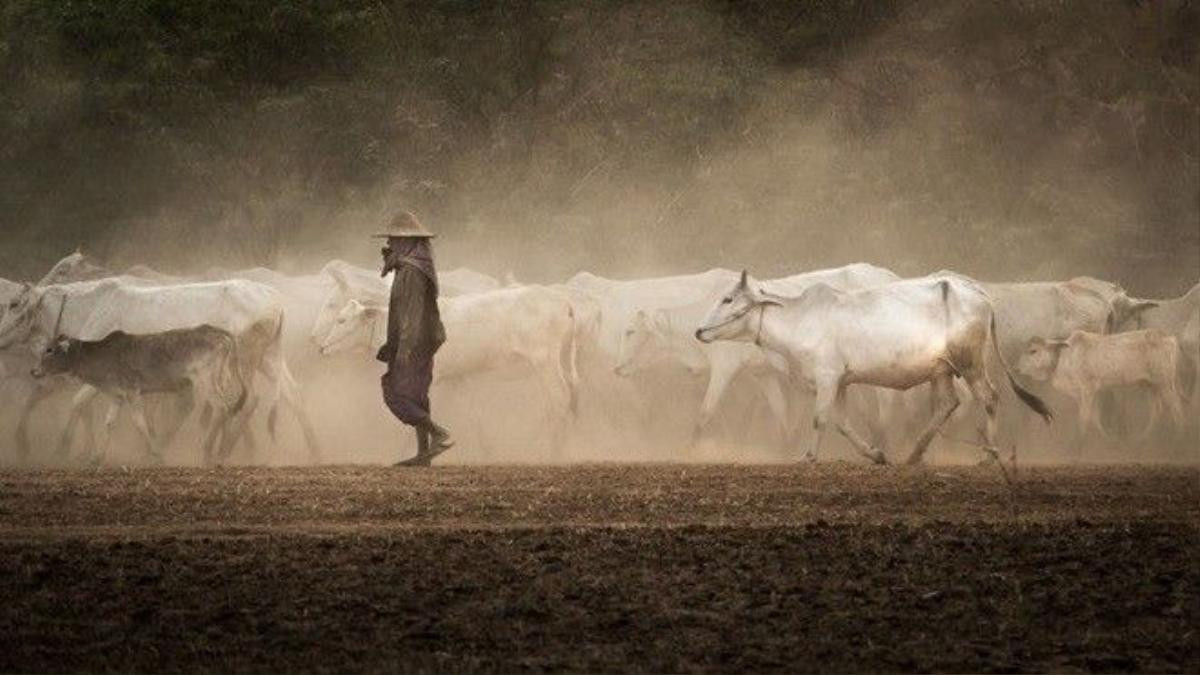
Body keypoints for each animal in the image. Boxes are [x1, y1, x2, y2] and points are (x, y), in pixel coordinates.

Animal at [696, 269, 1051, 461]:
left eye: (728, 298)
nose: (699, 331)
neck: (800, 319)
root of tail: (978, 293)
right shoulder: (840, 382)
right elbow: (841, 422)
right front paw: (876, 454)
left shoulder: (827, 378)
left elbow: (819, 419)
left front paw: (808, 456)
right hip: (942, 369)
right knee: (947, 404)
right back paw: (913, 455)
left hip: (970, 362)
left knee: (988, 397)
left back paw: (989, 455)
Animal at [1017, 329, 1185, 446]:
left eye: (1033, 350)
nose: (1016, 367)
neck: (1063, 359)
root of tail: (1169, 337)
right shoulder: (1085, 394)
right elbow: (1094, 416)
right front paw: (1105, 440)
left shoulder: (1088, 389)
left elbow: (1084, 418)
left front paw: (1077, 444)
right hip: (1151, 385)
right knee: (1157, 410)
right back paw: (1144, 439)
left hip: (1164, 382)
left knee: (1176, 407)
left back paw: (1179, 438)